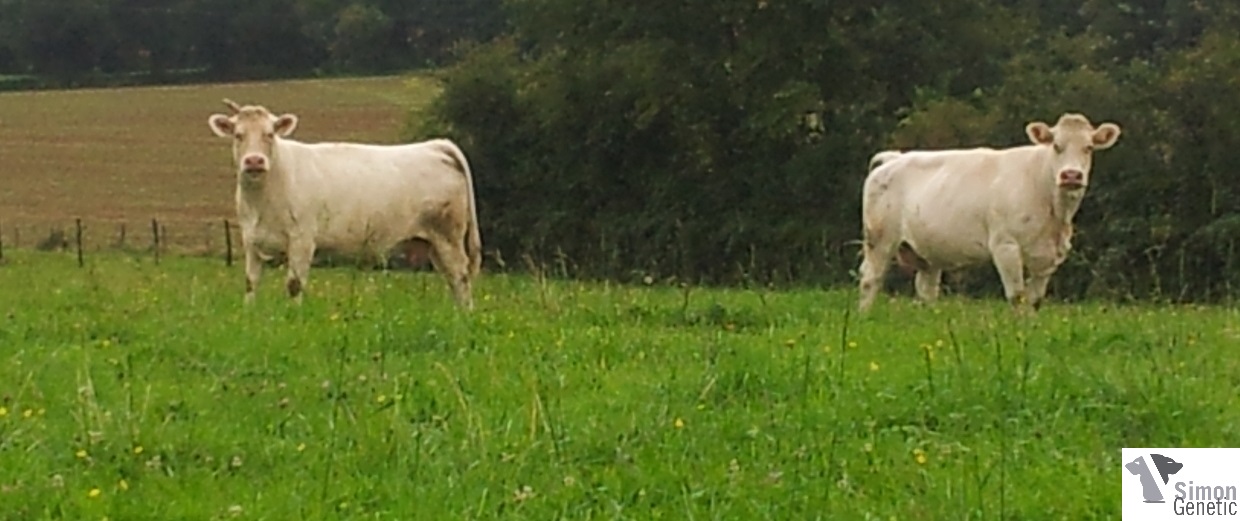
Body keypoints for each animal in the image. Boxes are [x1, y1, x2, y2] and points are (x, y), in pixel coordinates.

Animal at [207, 99, 482, 309]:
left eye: (270, 135)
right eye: (238, 135)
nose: (254, 161)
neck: (261, 200)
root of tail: (437, 145)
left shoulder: (302, 239)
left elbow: (294, 285)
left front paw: (292, 318)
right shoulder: (251, 240)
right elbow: (250, 283)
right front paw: (249, 314)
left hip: (448, 236)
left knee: (461, 276)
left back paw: (465, 316)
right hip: (433, 242)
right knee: (452, 278)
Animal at [856, 113, 1121, 313]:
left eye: (1088, 148)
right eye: (1056, 146)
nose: (1071, 175)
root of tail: (894, 158)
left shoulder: (1049, 256)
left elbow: (1035, 300)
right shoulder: (1005, 246)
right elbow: (1017, 296)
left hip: (927, 253)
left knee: (926, 290)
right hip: (879, 239)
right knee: (870, 279)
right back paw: (864, 317)